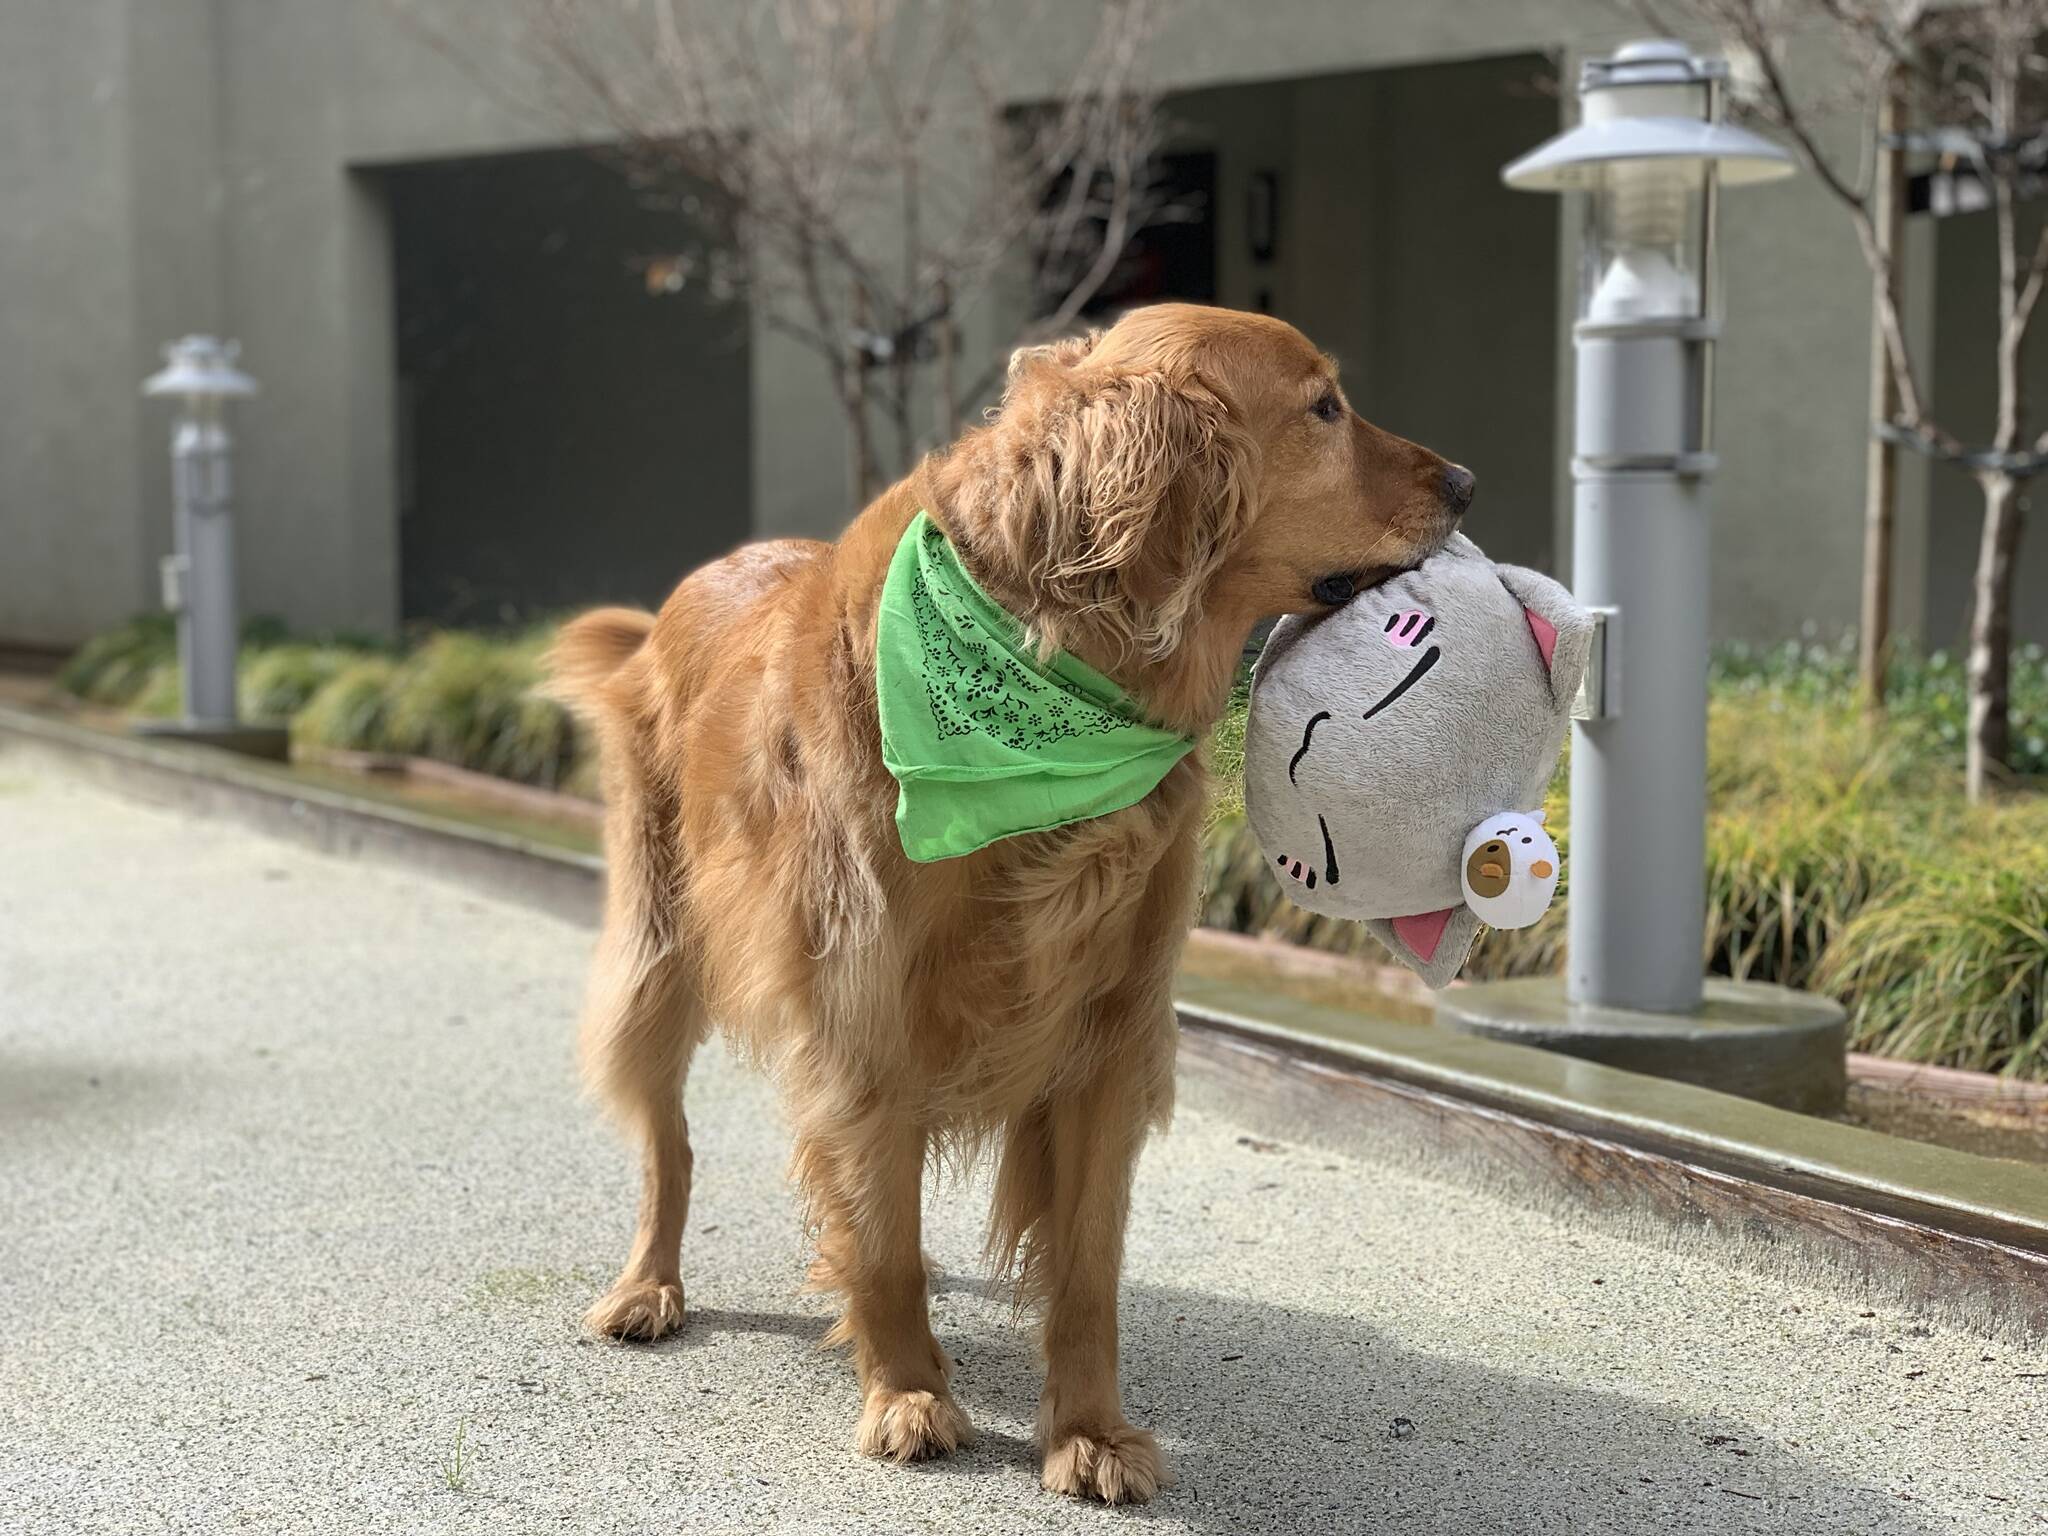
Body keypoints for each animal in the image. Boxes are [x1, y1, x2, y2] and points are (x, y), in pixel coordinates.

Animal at [552, 307, 1466, 1507]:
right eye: (1322, 408)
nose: (1467, 482)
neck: (1061, 671)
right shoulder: (863, 1019)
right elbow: (879, 1242)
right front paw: (905, 1392)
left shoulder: (1110, 1036)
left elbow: (1081, 1269)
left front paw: (1088, 1432)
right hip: (659, 952)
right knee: (671, 1141)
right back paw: (648, 1286)